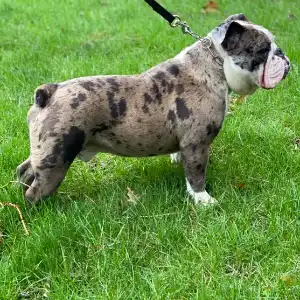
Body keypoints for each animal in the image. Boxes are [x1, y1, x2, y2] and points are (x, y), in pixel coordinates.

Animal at [17, 14, 290, 206]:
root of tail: (49, 92)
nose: (283, 56)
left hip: (45, 151)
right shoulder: (197, 143)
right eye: (262, 50)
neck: (215, 64)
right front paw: (203, 200)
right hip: (57, 156)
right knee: (37, 190)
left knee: (25, 170)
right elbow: (196, 174)